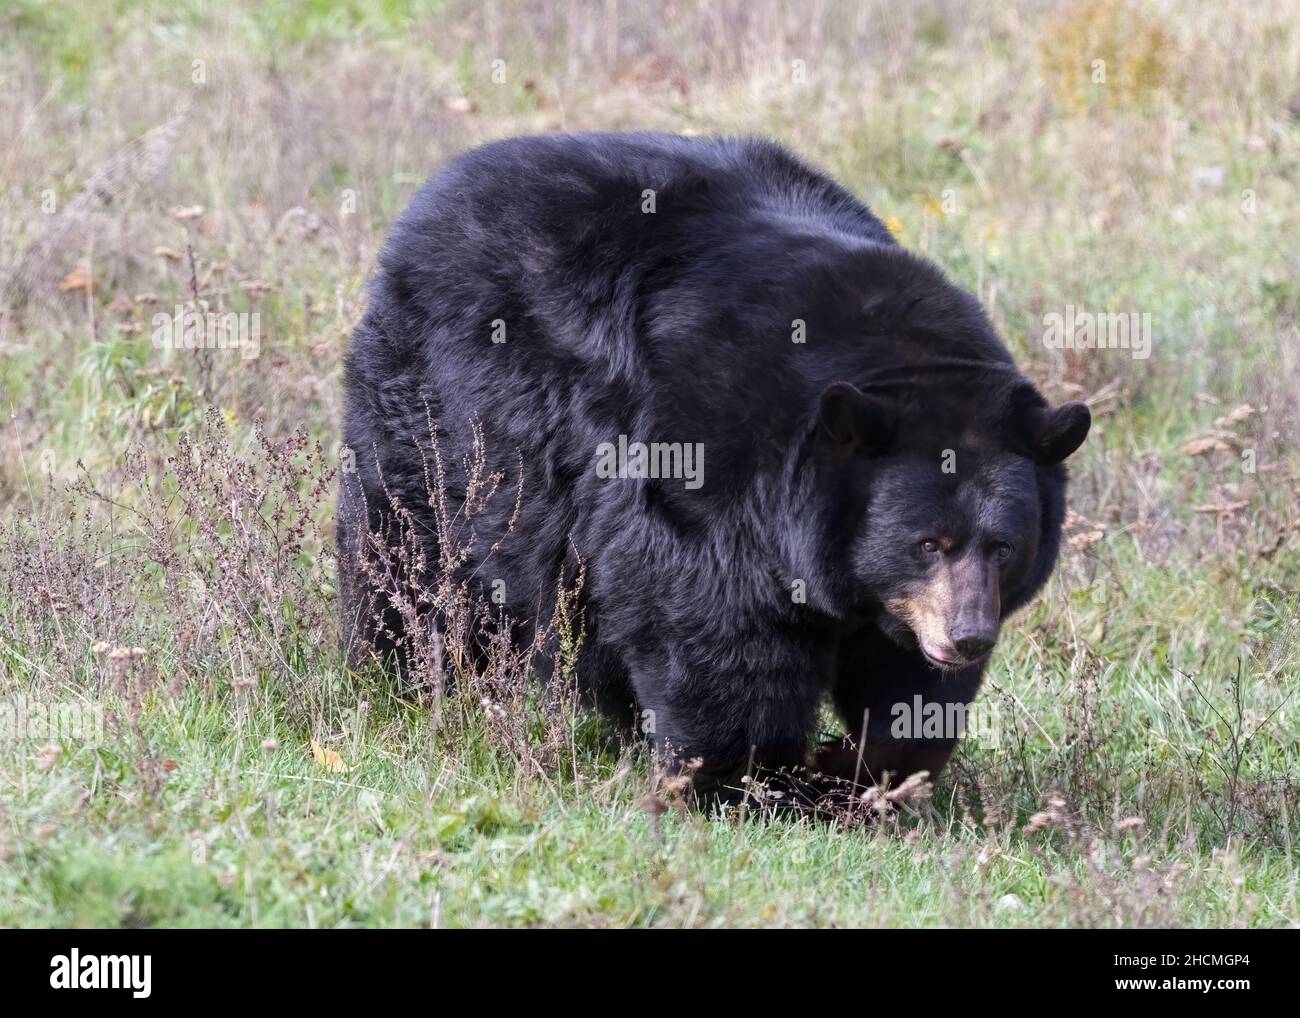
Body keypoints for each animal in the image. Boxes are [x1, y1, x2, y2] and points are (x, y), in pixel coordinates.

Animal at [338, 133, 1086, 806]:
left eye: (1004, 547)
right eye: (928, 542)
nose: (969, 637)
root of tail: (436, 191)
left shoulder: (896, 596)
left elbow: (908, 686)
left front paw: (859, 771)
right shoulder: (707, 468)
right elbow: (713, 622)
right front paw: (744, 779)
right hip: (437, 415)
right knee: (409, 554)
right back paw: (404, 677)